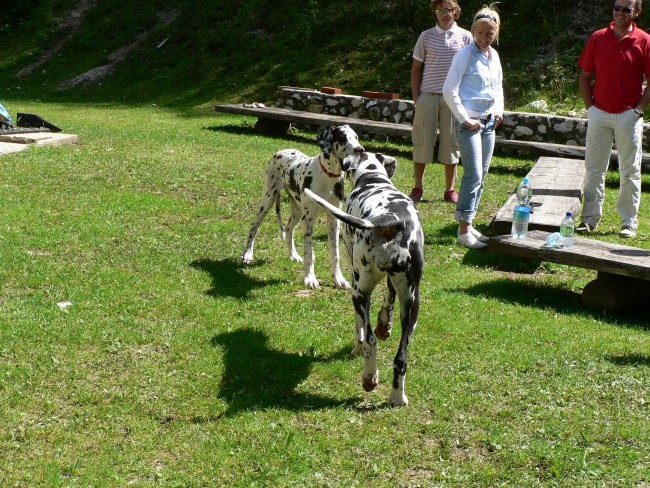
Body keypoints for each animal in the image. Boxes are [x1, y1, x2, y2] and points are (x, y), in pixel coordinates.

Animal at [239, 124, 362, 288]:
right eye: (342, 137)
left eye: (356, 137)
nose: (360, 149)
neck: (327, 177)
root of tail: (281, 151)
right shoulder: (309, 219)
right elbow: (309, 251)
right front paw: (310, 278)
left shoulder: (334, 219)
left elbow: (335, 253)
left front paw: (338, 278)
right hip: (267, 201)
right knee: (254, 227)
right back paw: (247, 254)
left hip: (297, 211)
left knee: (288, 229)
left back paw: (293, 255)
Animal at [306, 152, 422, 404]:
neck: (373, 177)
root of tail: (390, 221)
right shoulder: (393, 283)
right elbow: (387, 301)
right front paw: (384, 326)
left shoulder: (356, 287)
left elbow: (359, 326)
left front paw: (357, 348)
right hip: (412, 304)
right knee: (401, 358)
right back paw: (397, 396)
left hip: (359, 292)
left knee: (370, 340)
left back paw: (369, 377)